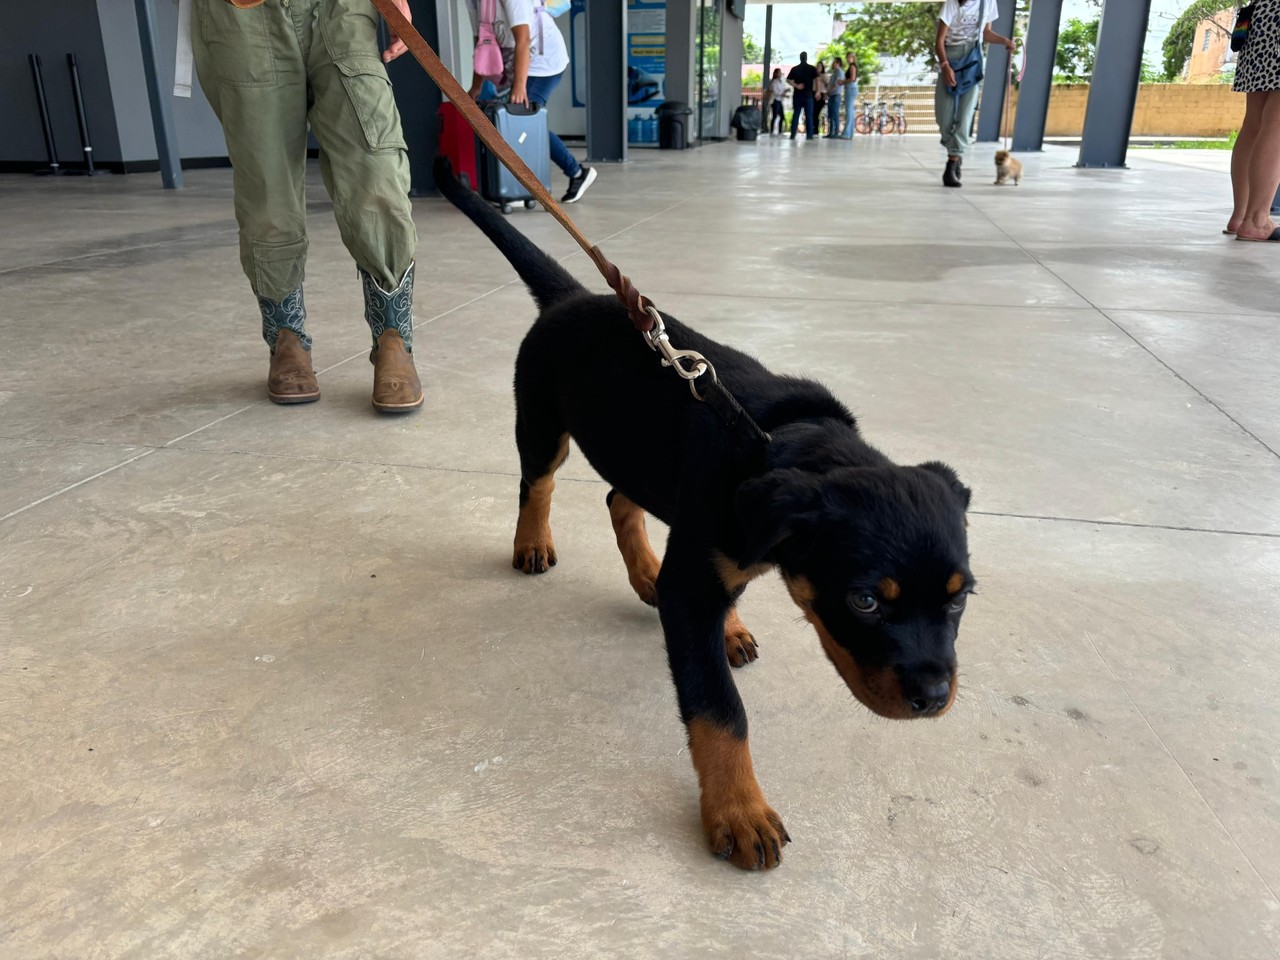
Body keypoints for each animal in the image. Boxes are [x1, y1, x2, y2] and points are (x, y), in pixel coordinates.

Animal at [435, 160, 972, 870]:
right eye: (864, 601)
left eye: (959, 599)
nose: (934, 698)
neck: (775, 441)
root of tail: (570, 296)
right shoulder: (694, 583)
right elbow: (719, 709)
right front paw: (739, 810)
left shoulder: (715, 551)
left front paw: (732, 628)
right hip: (543, 422)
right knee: (538, 482)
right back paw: (533, 543)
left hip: (638, 452)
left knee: (618, 497)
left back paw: (644, 574)